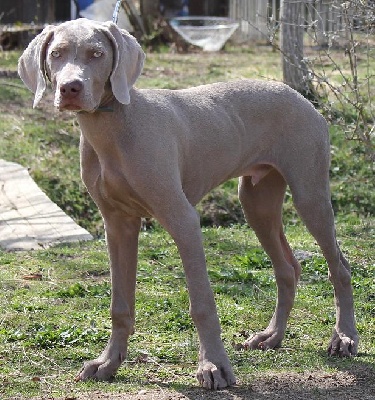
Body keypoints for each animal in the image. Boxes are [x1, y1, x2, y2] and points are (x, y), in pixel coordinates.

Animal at [19, 18, 360, 390]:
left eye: (97, 54)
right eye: (57, 54)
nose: (70, 88)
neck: (114, 127)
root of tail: (299, 96)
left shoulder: (183, 218)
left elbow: (202, 303)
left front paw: (214, 367)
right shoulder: (118, 225)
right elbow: (119, 305)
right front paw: (108, 363)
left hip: (309, 194)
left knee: (340, 266)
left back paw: (344, 338)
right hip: (257, 202)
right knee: (288, 268)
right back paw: (271, 336)